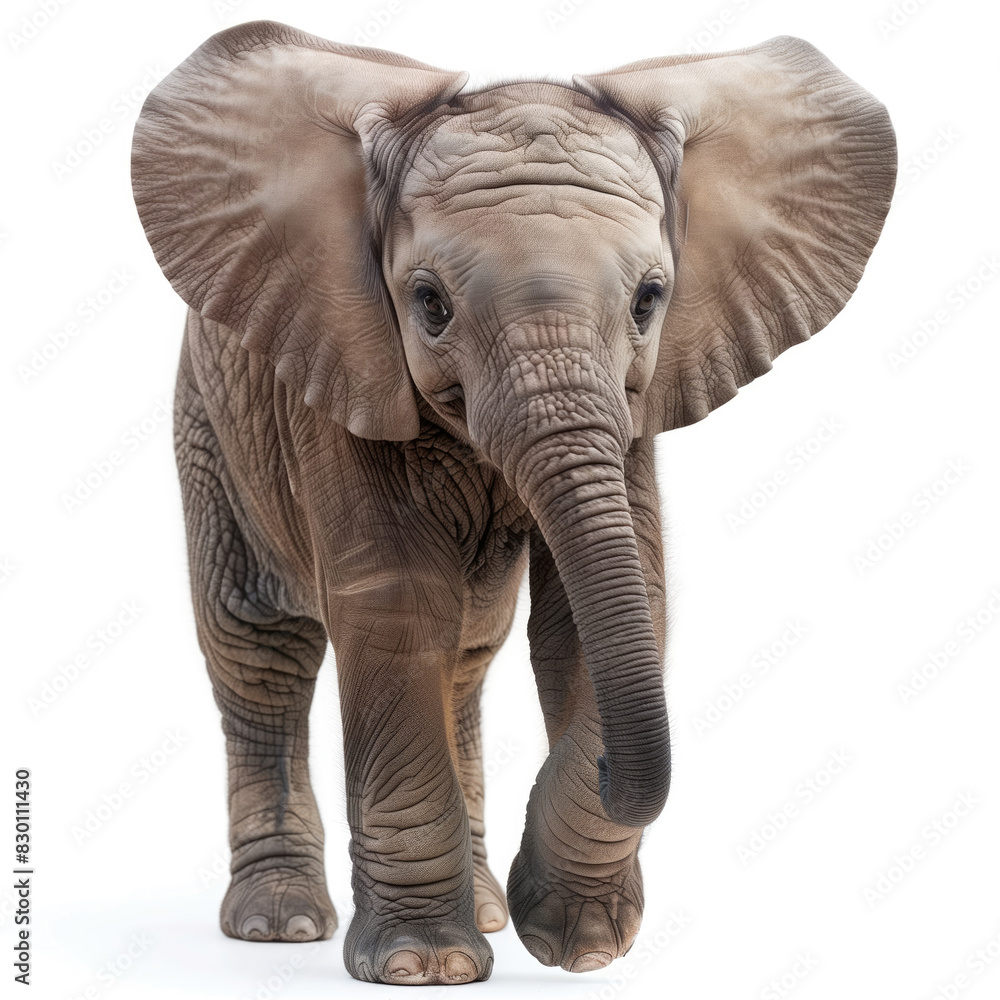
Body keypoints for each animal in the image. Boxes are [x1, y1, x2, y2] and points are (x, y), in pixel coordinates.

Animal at [130, 20, 895, 986]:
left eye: (650, 299)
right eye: (428, 304)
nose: (607, 774)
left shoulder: (636, 404)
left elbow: (612, 603)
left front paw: (579, 942)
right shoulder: (342, 369)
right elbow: (395, 605)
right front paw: (425, 968)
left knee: (467, 654)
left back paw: (489, 908)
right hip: (209, 420)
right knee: (258, 649)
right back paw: (282, 924)